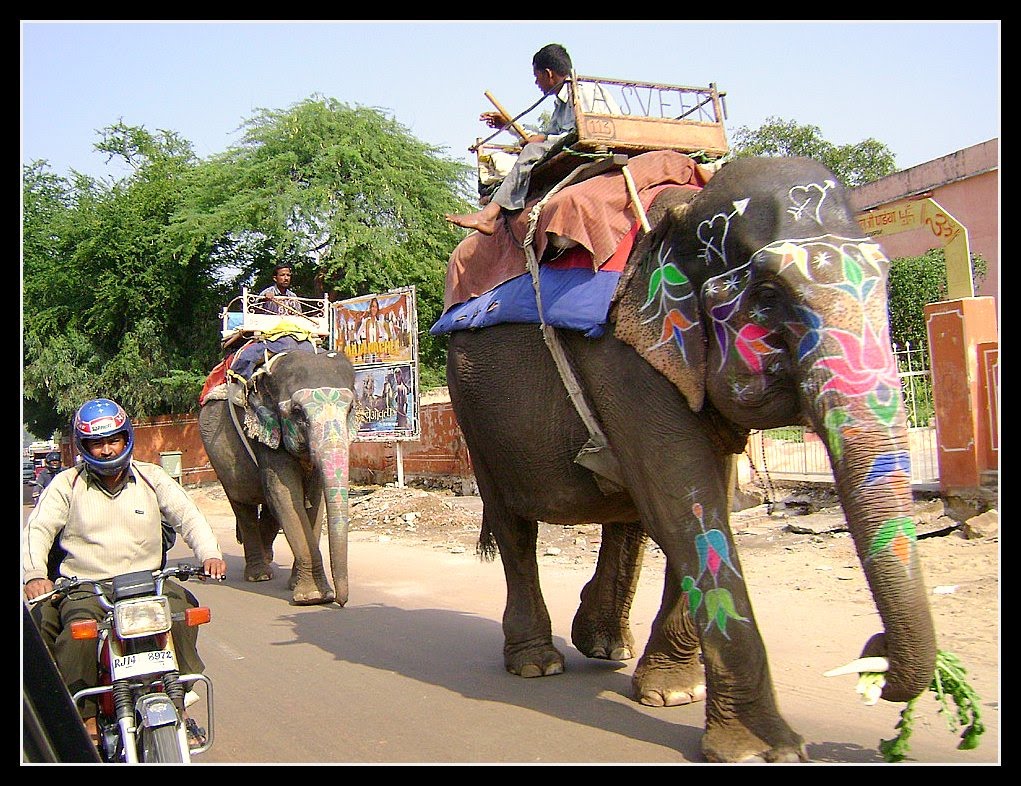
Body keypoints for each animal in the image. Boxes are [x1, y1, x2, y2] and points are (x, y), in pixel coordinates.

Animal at [199, 347, 359, 604]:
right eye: (297, 412)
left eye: (350, 409)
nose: (341, 601)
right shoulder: (263, 430)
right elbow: (286, 495)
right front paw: (313, 597)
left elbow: (314, 502)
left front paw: (303, 588)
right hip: (218, 459)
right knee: (242, 503)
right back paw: (259, 575)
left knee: (269, 507)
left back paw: (267, 559)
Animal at [443, 156, 935, 763]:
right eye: (767, 296)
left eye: (886, 281)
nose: (875, 651)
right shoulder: (627, 357)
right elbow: (686, 501)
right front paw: (762, 749)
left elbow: (702, 499)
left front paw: (672, 694)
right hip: (471, 409)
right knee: (514, 523)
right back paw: (538, 664)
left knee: (628, 510)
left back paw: (604, 645)